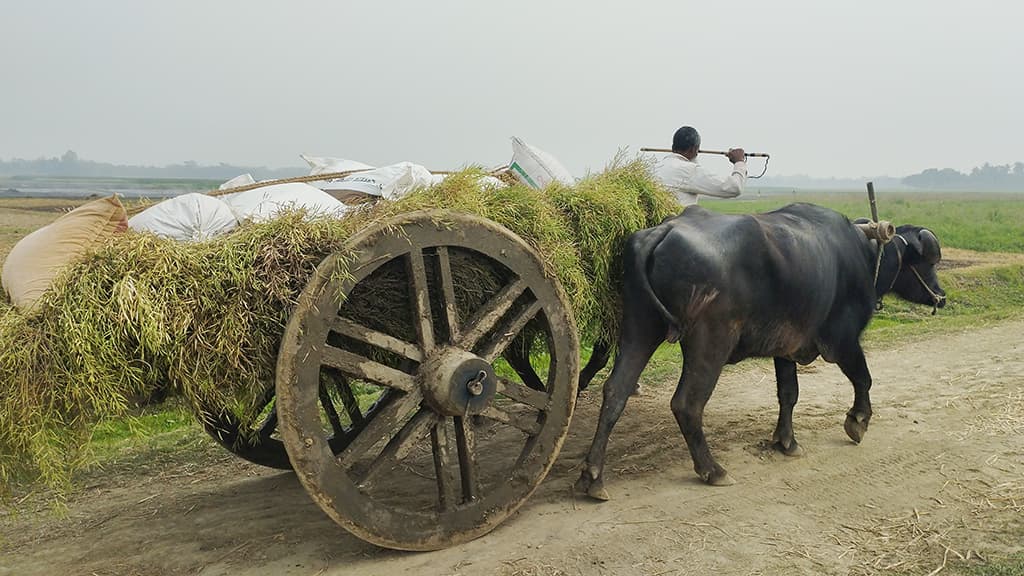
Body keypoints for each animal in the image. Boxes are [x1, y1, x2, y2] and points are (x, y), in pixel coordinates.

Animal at [577, 201, 942, 498]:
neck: (863, 256)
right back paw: (713, 470)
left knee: (615, 391)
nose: (941, 296)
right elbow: (863, 379)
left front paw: (786, 441)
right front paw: (857, 422)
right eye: (927, 264)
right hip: (710, 341)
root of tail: (665, 229)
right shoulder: (843, 340)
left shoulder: (786, 348)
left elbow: (788, 393)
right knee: (687, 404)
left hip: (640, 327)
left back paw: (592, 477)